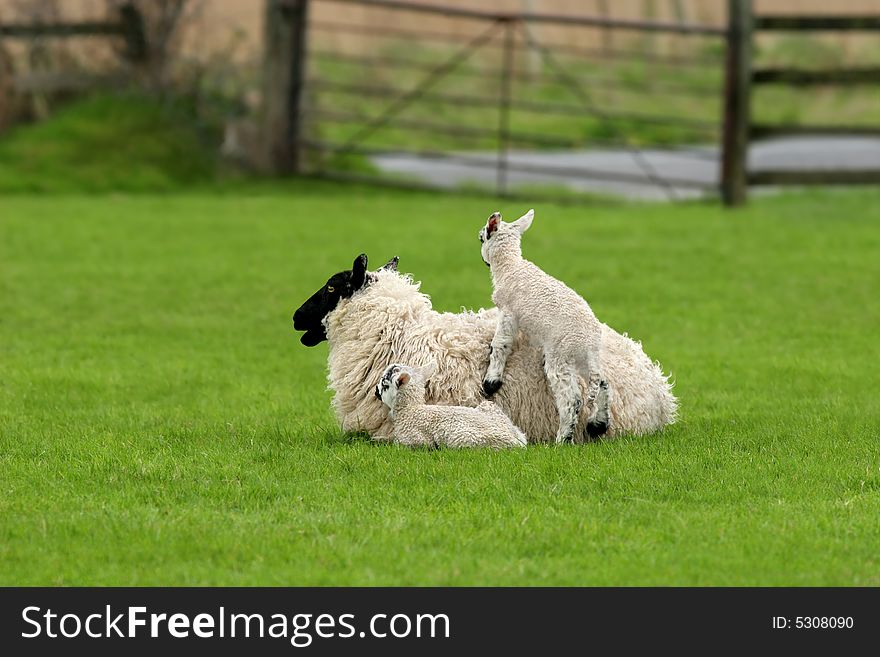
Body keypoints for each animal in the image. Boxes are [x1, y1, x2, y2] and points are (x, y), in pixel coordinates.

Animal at [372, 362, 524, 448]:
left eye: (384, 384)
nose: (375, 391)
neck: (410, 409)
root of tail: (518, 441)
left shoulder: (413, 439)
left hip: (465, 438)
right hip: (490, 407)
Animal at [482, 209, 612, 446]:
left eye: (481, 238)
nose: (485, 261)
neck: (510, 266)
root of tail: (589, 342)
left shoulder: (508, 311)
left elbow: (501, 343)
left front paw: (491, 382)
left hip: (561, 354)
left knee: (572, 399)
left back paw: (563, 439)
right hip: (582, 359)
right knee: (603, 384)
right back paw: (597, 425)